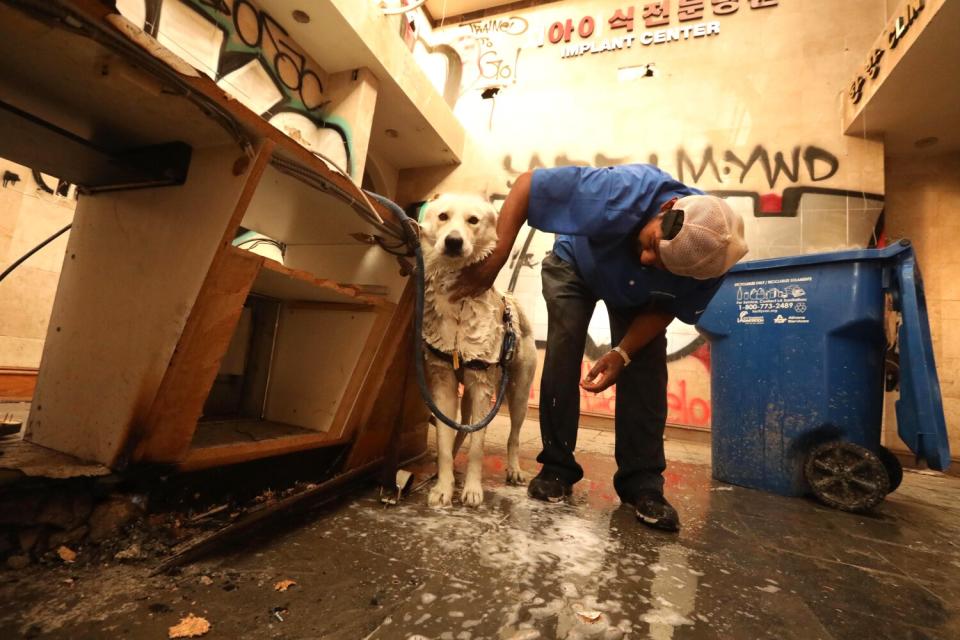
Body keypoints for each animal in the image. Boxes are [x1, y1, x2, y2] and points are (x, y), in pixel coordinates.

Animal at [420, 192, 540, 508]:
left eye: (473, 220)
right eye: (443, 216)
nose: (453, 241)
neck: (458, 304)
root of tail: (512, 300)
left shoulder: (482, 387)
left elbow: (477, 447)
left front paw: (473, 490)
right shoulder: (444, 386)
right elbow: (445, 440)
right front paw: (443, 486)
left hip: (518, 396)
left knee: (513, 437)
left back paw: (514, 470)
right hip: (469, 396)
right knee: (461, 427)